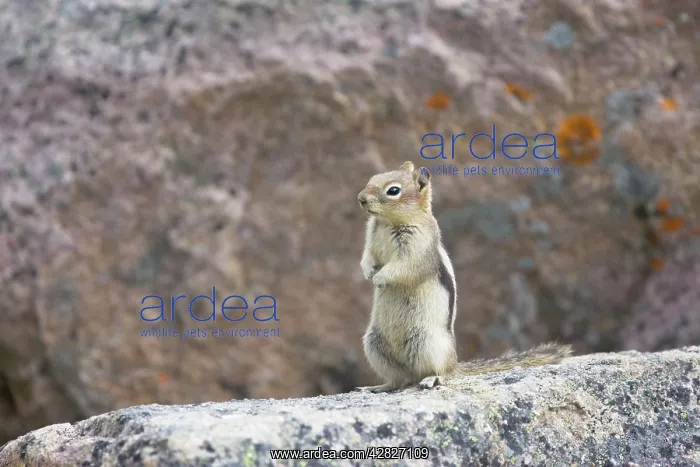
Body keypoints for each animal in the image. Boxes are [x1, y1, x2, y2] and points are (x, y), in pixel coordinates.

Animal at [355, 161, 572, 393]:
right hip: (374, 344)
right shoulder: (371, 240)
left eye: (393, 190)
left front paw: (379, 279)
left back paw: (431, 379)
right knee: (400, 380)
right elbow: (367, 256)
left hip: (428, 341)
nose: (360, 198)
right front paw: (368, 272)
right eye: (372, 179)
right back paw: (378, 386)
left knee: (441, 372)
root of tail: (455, 363)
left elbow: (403, 268)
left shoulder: (417, 250)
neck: (388, 222)